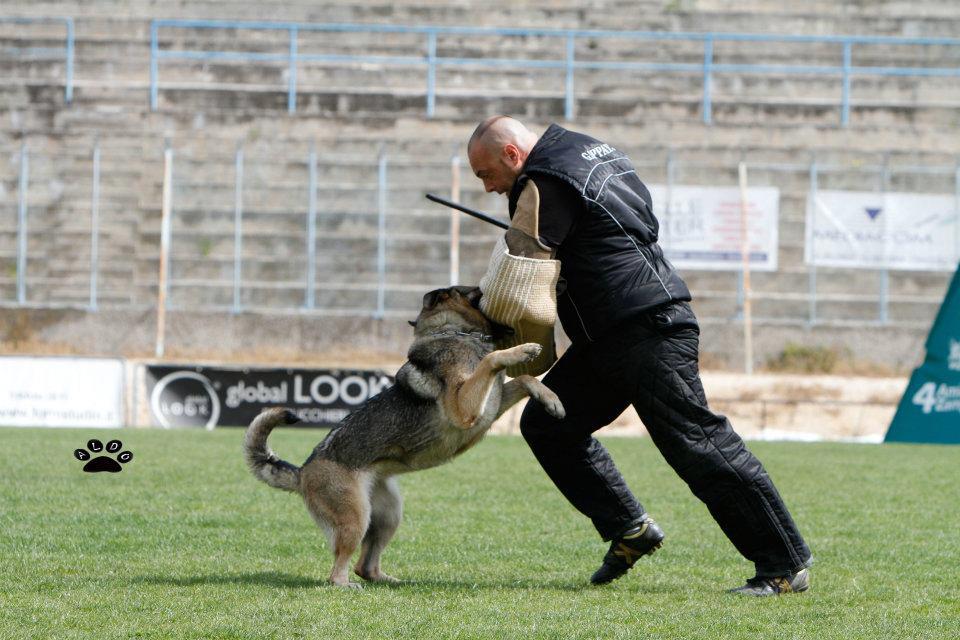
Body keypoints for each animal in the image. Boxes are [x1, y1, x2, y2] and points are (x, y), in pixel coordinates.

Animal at [244, 288, 568, 588]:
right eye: (473, 291)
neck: (454, 332)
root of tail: (303, 471)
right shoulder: (463, 407)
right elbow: (492, 359)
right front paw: (522, 351)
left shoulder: (490, 405)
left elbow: (524, 380)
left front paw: (551, 399)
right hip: (356, 518)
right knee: (338, 570)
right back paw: (346, 585)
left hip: (389, 515)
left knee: (366, 565)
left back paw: (390, 581)